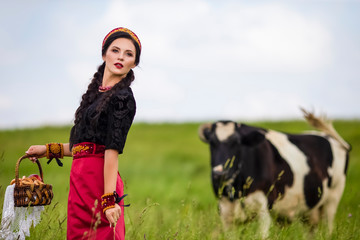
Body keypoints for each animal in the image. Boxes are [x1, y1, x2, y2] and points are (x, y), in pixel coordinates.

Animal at [198, 109, 350, 239]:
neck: (238, 189)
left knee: (329, 226)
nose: (219, 173)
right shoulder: (225, 212)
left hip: (333, 198)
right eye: (212, 143)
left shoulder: (264, 209)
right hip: (310, 212)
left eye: (237, 142)